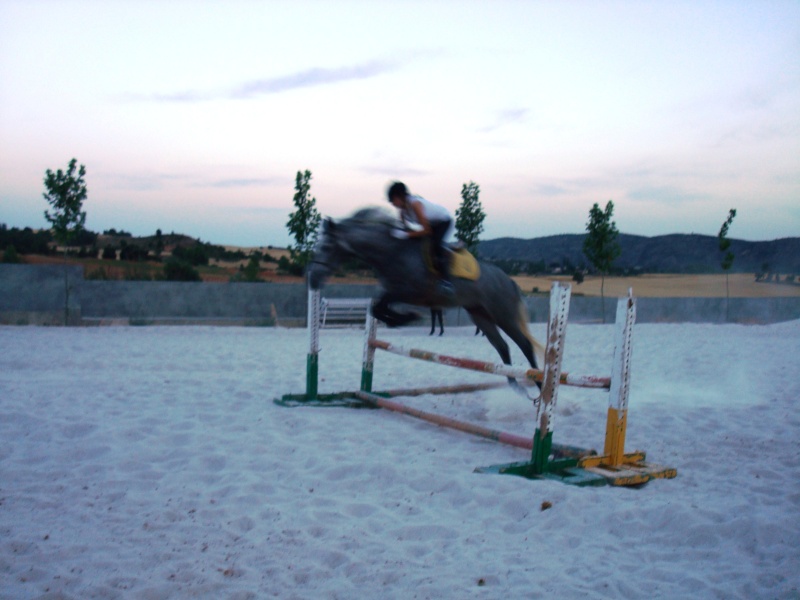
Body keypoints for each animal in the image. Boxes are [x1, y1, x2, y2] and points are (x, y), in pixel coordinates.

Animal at [306, 207, 544, 384]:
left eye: (326, 247)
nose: (312, 278)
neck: (391, 251)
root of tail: (508, 280)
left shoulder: (409, 292)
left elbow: (381, 307)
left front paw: (407, 318)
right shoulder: (393, 292)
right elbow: (377, 307)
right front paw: (402, 319)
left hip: (502, 314)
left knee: (524, 344)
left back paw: (538, 383)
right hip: (480, 315)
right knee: (502, 347)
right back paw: (514, 385)